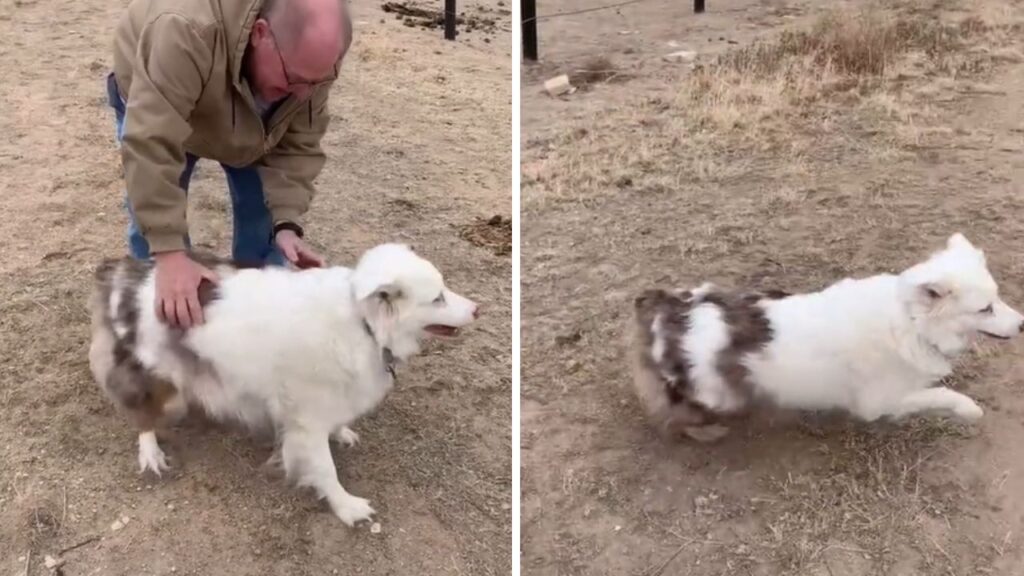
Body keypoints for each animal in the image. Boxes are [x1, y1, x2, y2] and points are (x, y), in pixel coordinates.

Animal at [87, 241, 479, 524]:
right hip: (151, 376)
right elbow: (325, 470)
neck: (363, 323)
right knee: (143, 414)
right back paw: (151, 451)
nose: (478, 309)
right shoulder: (306, 420)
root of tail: (124, 272)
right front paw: (347, 507)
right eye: (437, 298)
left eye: (444, 289)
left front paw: (341, 432)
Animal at [630, 231, 1024, 438]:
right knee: (677, 415)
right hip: (713, 393)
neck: (909, 321)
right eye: (984, 309)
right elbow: (938, 394)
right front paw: (968, 409)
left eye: (997, 297)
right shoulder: (877, 402)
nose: (1022, 324)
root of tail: (660, 307)